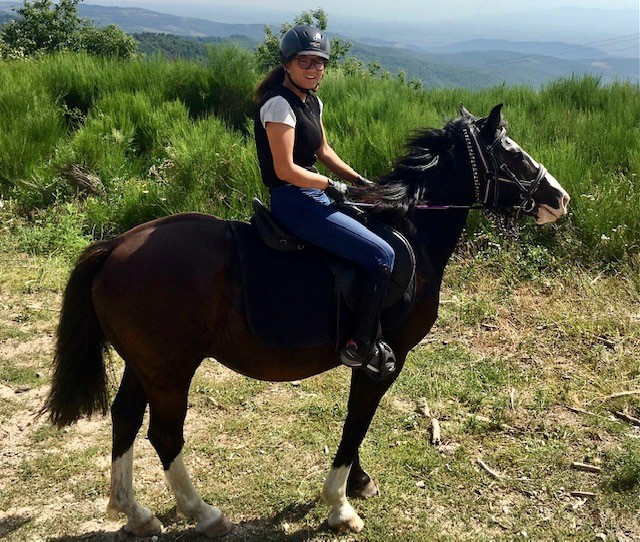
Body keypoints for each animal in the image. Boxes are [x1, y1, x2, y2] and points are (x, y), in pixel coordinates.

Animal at [42, 104, 568, 536]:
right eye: (512, 155)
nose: (560, 198)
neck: (409, 232)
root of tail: (116, 246)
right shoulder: (387, 359)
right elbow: (357, 422)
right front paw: (340, 505)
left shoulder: (370, 362)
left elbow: (357, 423)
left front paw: (358, 481)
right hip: (171, 371)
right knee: (164, 434)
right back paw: (204, 514)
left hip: (145, 366)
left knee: (125, 418)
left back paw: (135, 513)